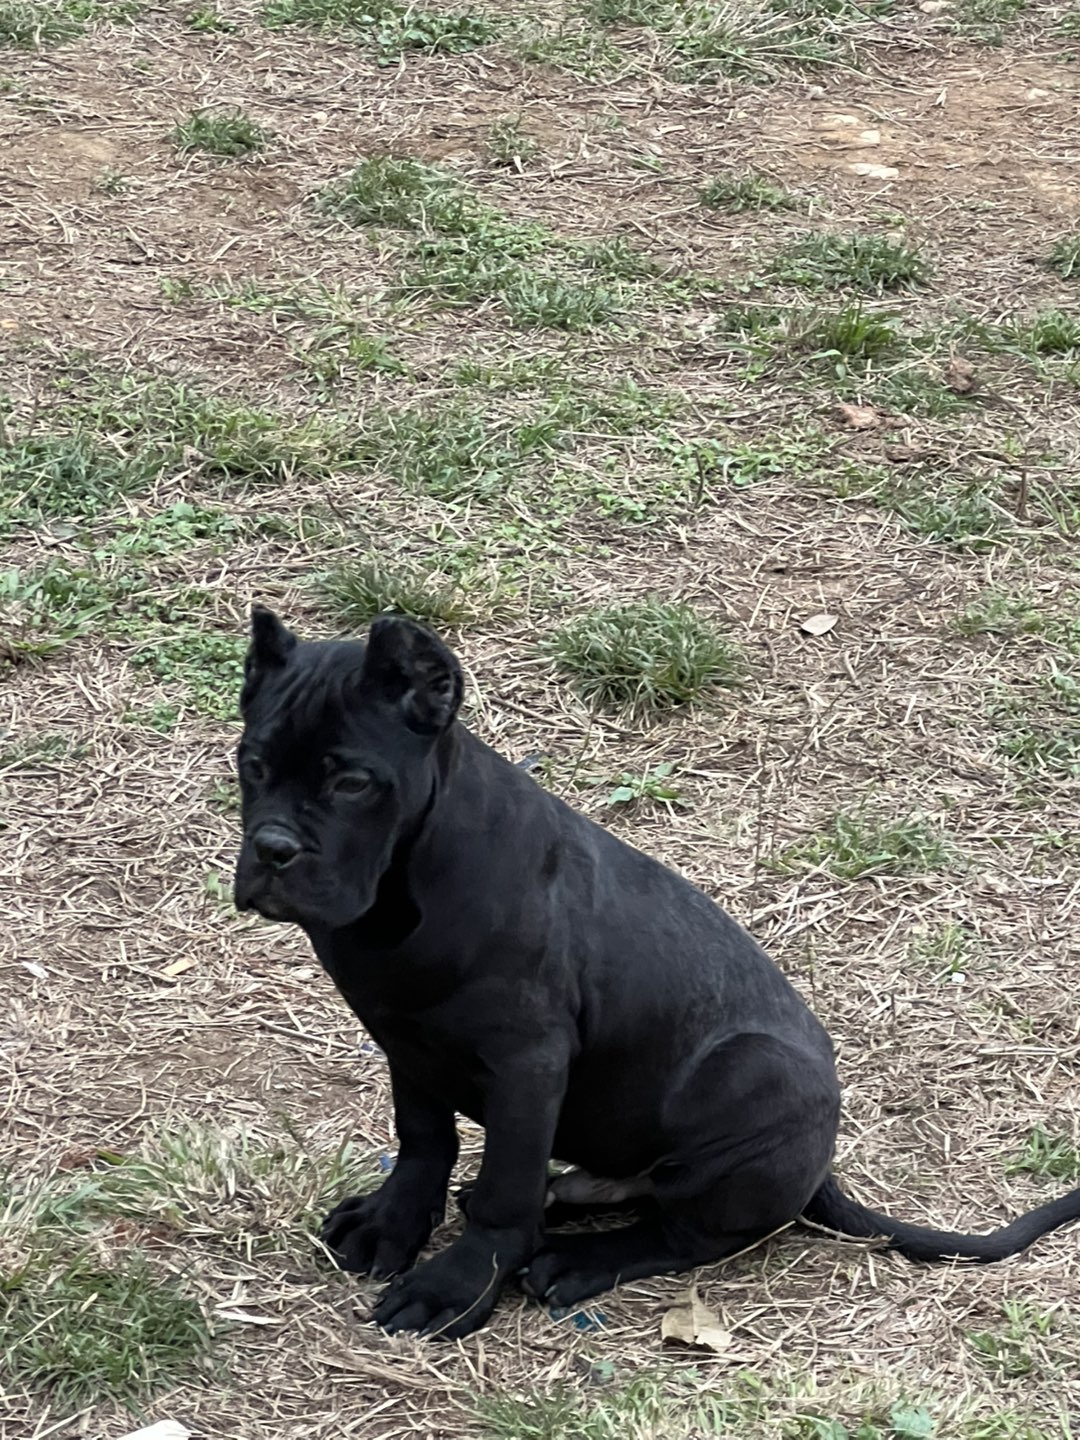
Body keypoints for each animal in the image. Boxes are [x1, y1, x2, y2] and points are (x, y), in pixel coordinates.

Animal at [233, 607, 1080, 1339]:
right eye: (250, 765)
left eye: (352, 782)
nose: (272, 848)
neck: (401, 887)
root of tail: (821, 1166)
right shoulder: (405, 1038)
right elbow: (422, 1139)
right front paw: (392, 1225)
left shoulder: (527, 1062)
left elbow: (505, 1189)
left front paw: (458, 1286)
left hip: (750, 1074)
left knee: (683, 1233)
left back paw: (573, 1259)